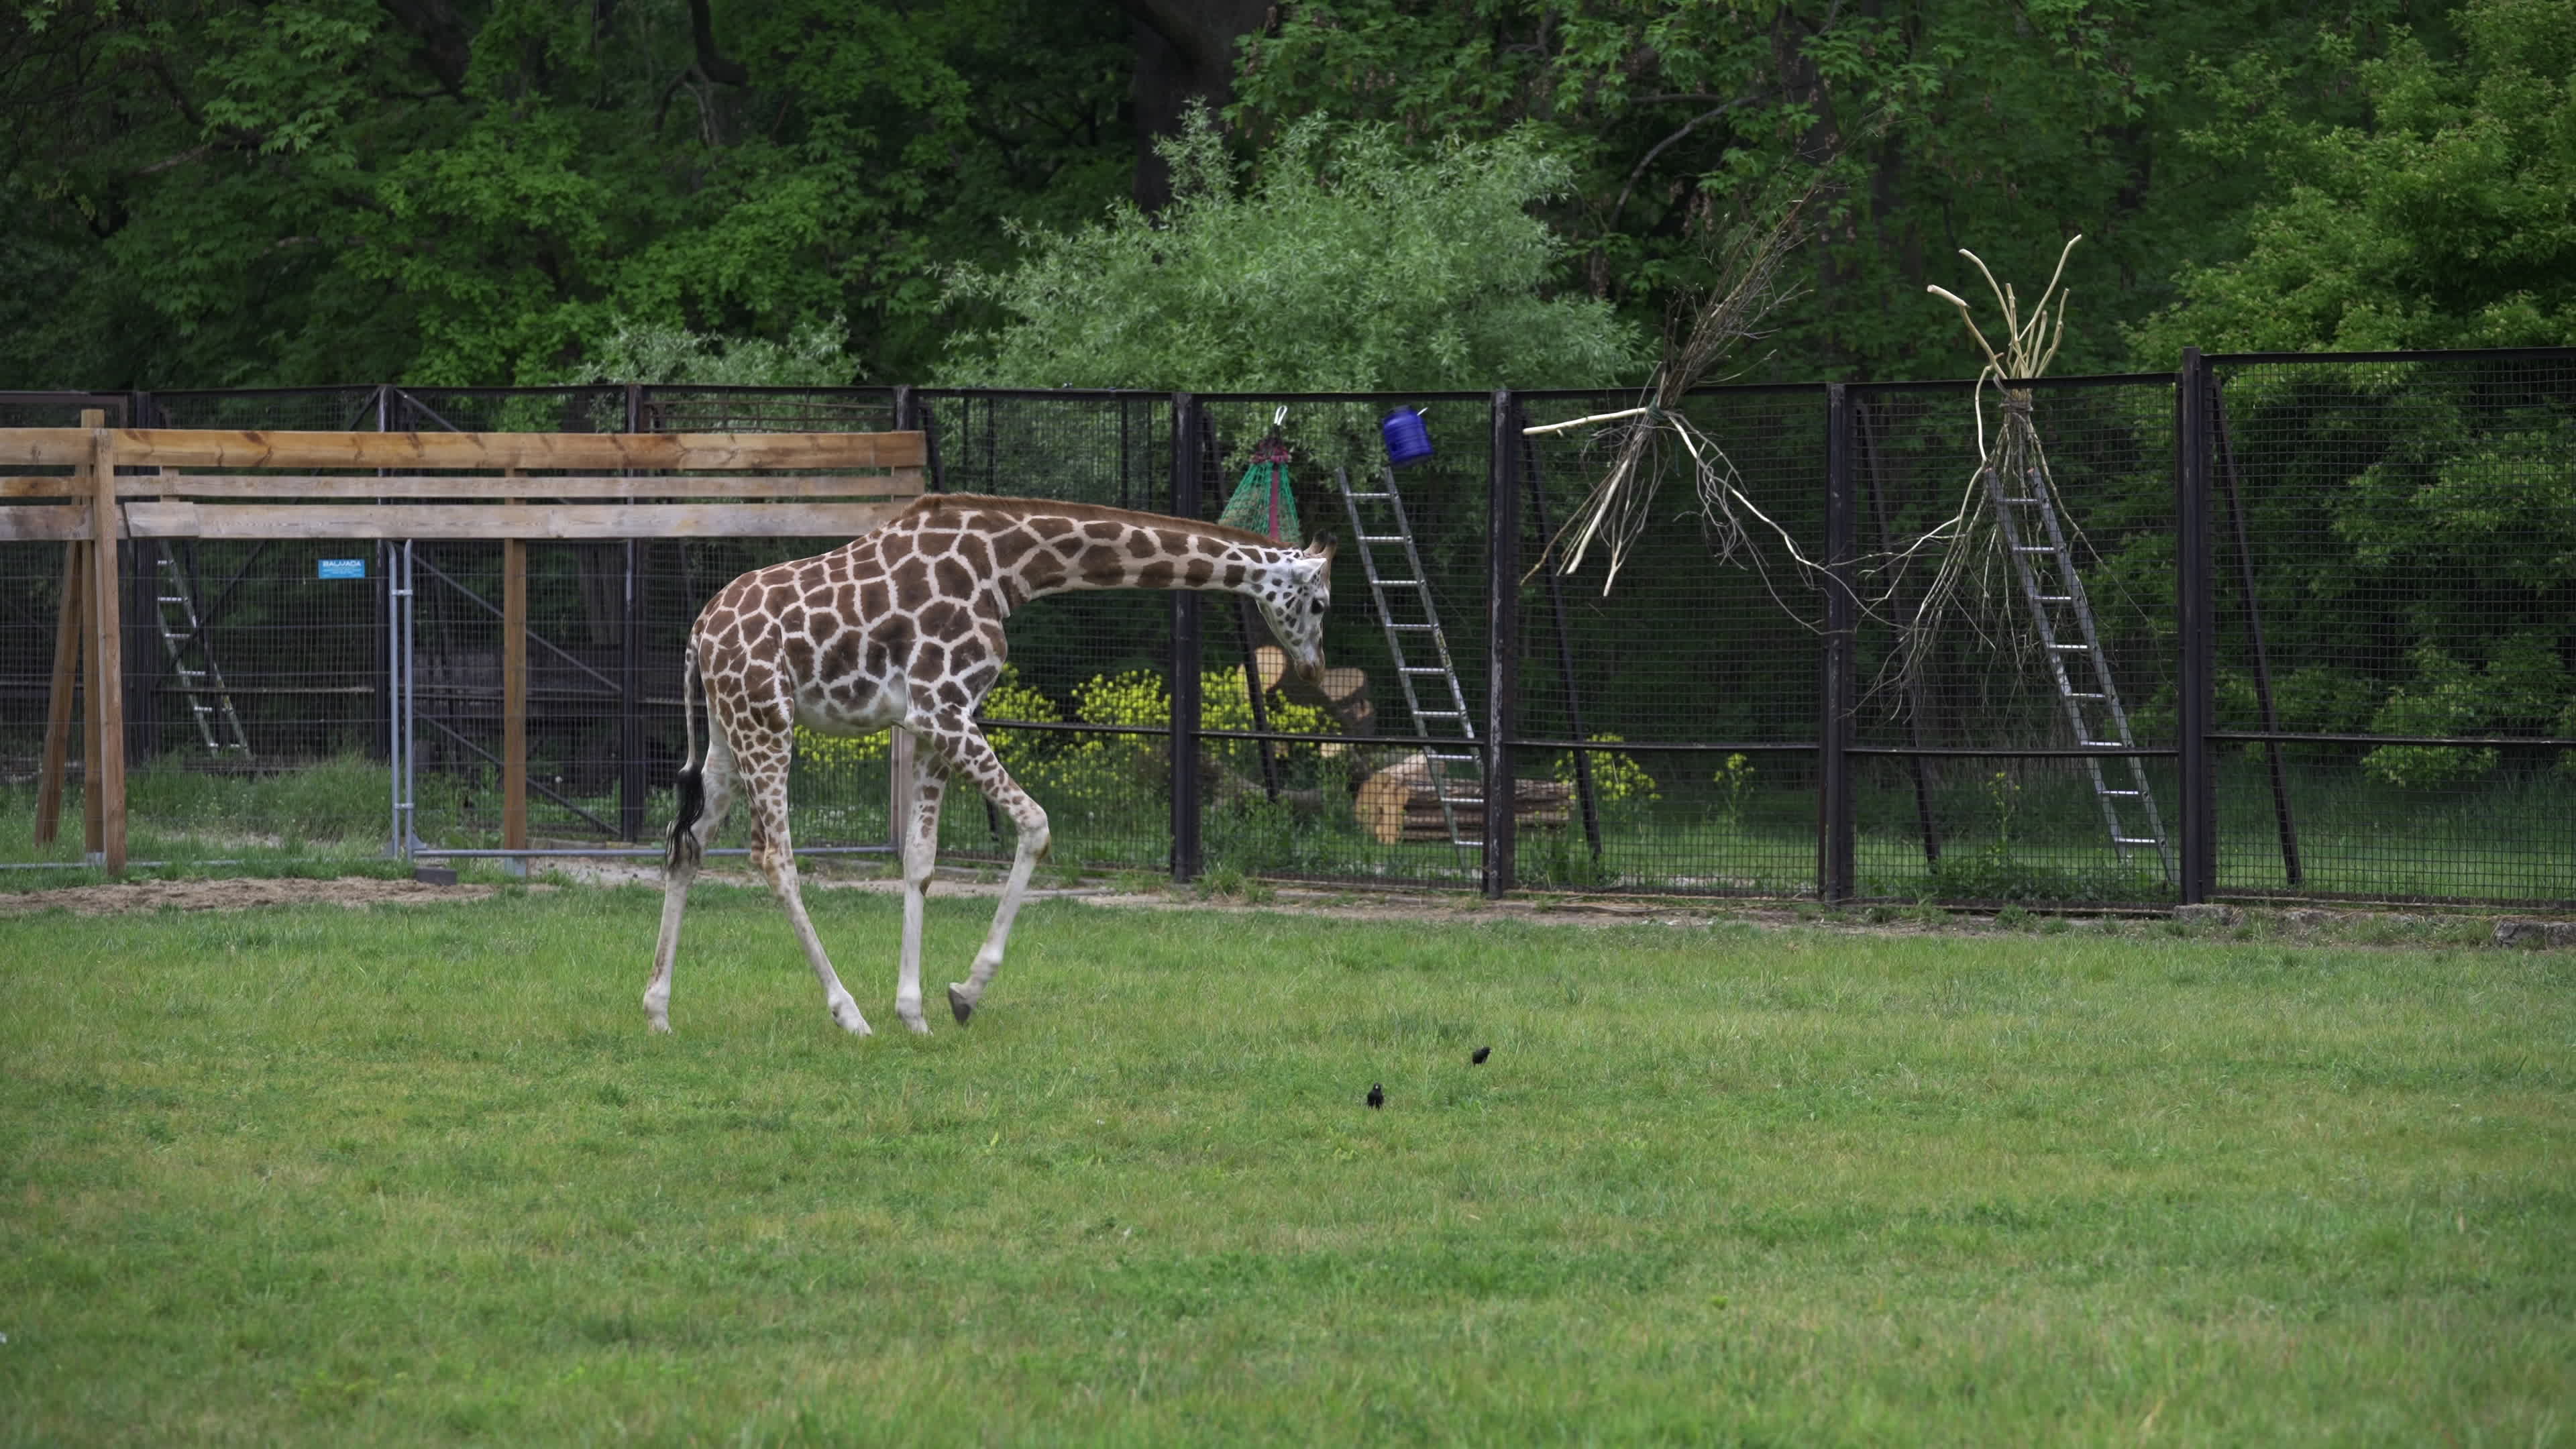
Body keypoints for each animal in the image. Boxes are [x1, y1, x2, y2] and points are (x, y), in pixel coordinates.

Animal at [646, 493, 1336, 1037]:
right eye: (1322, 604)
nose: (1312, 669)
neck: (1009, 567)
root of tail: (698, 635)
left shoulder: (929, 722)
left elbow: (921, 860)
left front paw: (915, 1012)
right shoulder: (943, 709)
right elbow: (1036, 824)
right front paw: (964, 994)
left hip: (728, 735)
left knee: (687, 848)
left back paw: (657, 1011)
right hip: (767, 722)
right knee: (774, 856)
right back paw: (848, 1013)